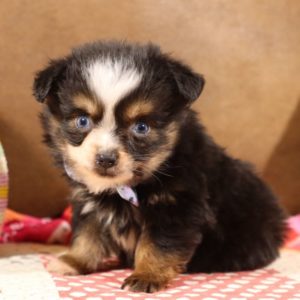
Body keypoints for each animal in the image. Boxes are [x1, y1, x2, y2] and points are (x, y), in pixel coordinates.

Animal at [32, 41, 286, 294]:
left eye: (141, 127)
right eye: (82, 120)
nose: (105, 159)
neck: (124, 189)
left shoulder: (177, 207)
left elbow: (158, 245)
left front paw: (146, 275)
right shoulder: (91, 205)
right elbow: (87, 235)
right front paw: (73, 261)